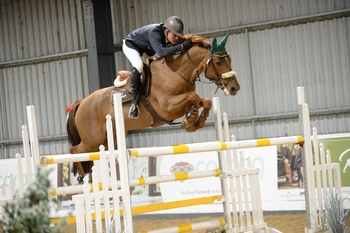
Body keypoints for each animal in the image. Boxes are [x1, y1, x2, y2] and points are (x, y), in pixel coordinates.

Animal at [66, 34, 241, 182]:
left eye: (230, 60)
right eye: (218, 62)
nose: (234, 88)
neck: (176, 72)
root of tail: (82, 102)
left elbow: (205, 101)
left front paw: (193, 121)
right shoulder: (167, 108)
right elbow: (194, 97)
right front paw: (191, 120)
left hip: (108, 138)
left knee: (91, 155)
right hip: (92, 139)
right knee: (75, 151)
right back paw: (82, 178)